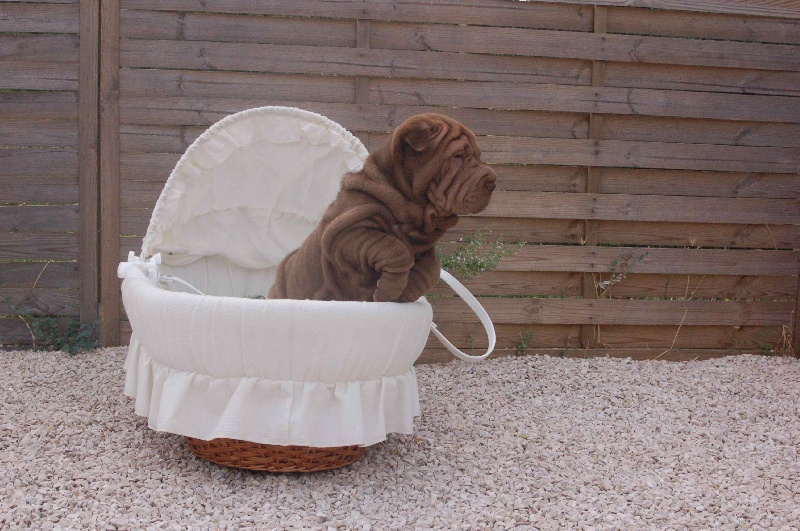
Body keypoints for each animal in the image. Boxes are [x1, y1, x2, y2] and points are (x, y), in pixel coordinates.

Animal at [268, 113, 496, 302]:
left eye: (478, 155)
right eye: (458, 156)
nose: (492, 180)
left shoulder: (424, 249)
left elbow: (432, 270)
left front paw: (406, 291)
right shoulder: (347, 233)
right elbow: (395, 249)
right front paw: (387, 291)